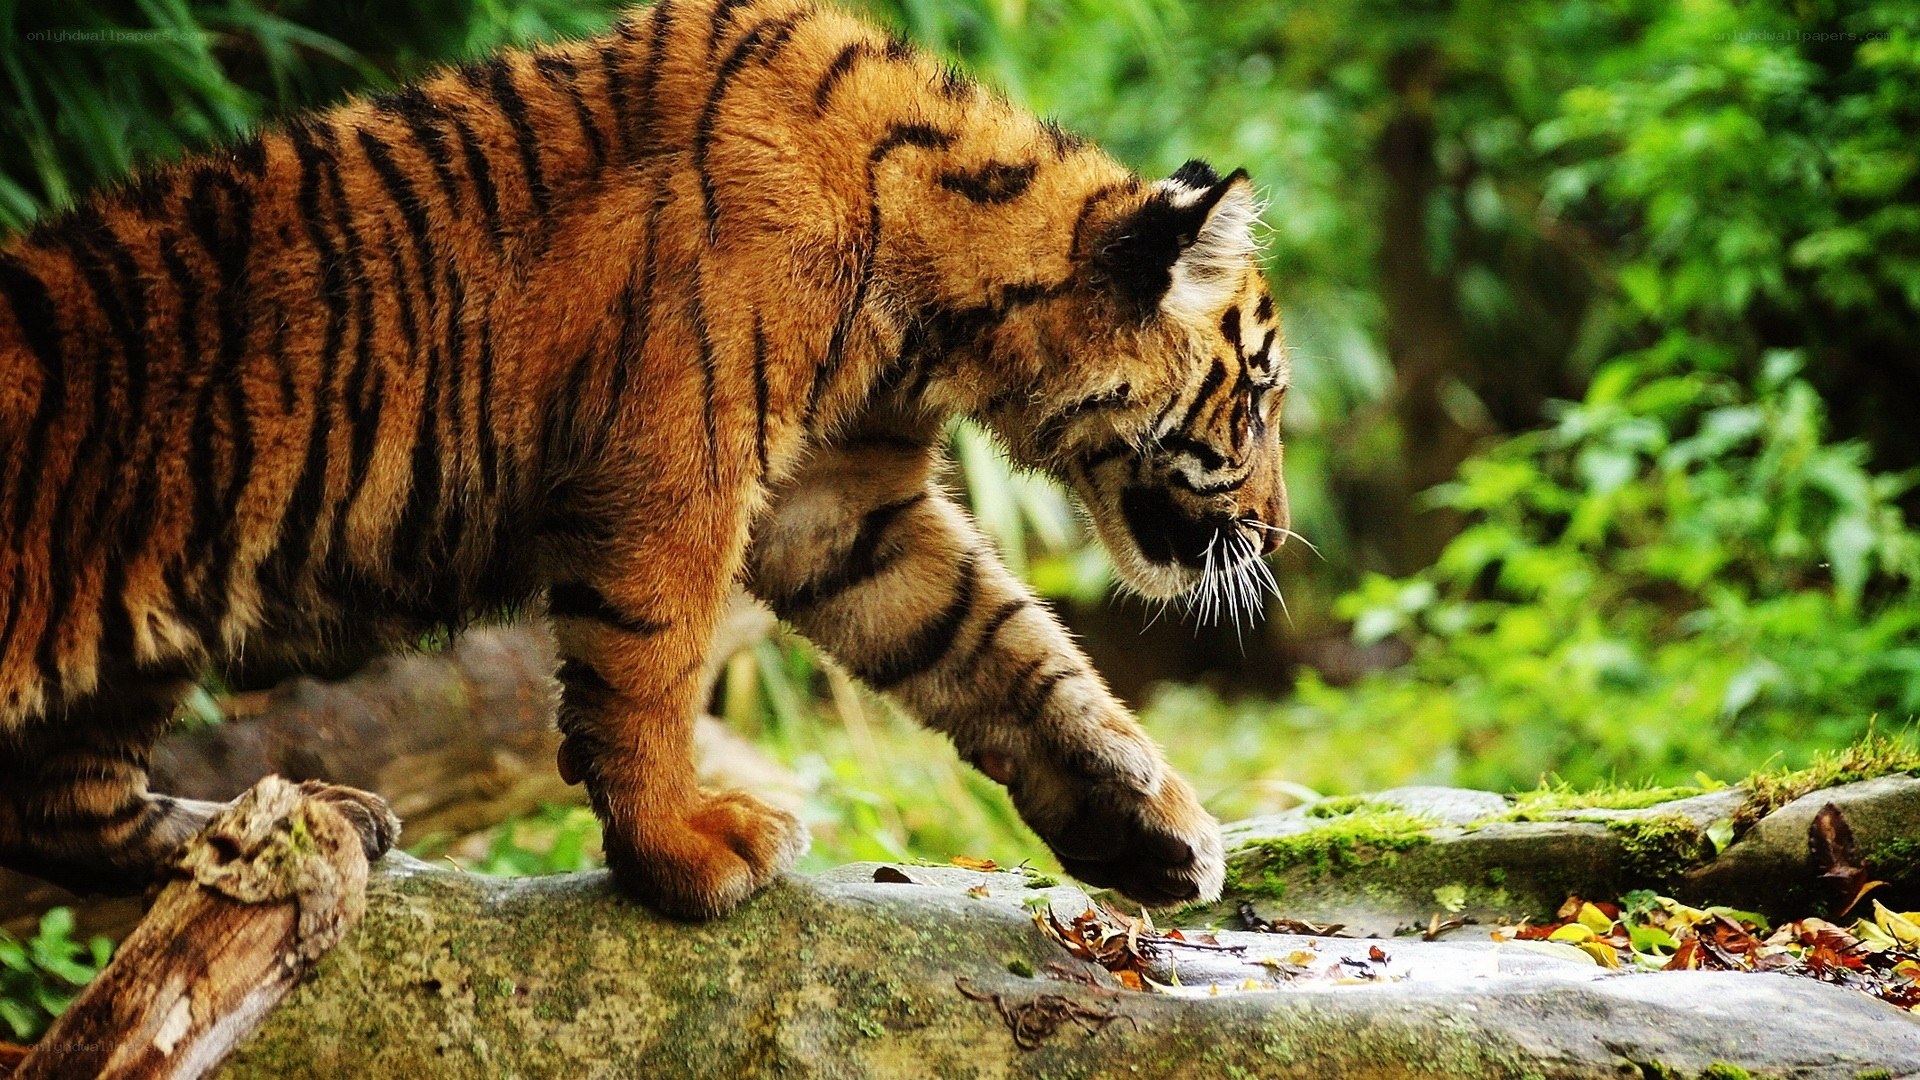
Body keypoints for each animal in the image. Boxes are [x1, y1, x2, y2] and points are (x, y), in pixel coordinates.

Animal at [0, 0, 1290, 919]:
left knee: (63, 807)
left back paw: (273, 829)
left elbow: (1001, 642)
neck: (946, 299)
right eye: (1265, 395)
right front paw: (686, 852)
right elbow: (652, 663)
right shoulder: (675, 472)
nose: (1276, 534)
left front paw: (1150, 823)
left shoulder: (839, 504)